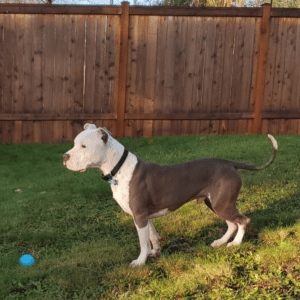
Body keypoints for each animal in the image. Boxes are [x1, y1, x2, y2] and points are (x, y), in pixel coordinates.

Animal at [62, 124, 278, 268]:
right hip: (215, 202)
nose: (64, 157)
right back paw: (220, 242)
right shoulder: (144, 216)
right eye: (74, 143)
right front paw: (155, 253)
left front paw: (140, 261)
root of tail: (230, 163)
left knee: (243, 220)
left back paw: (235, 244)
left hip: (222, 203)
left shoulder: (139, 215)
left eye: (83, 146)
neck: (119, 167)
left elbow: (143, 242)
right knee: (232, 223)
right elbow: (152, 236)